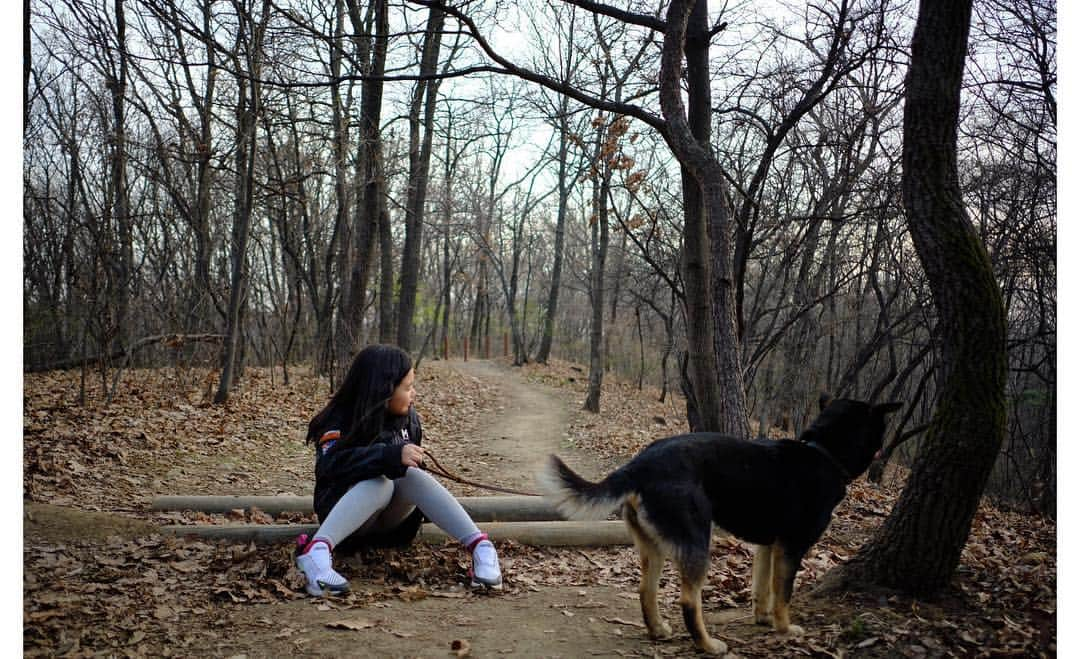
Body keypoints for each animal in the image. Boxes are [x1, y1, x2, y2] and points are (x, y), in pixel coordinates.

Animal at [540, 395, 902, 652]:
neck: (822, 451)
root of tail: (641, 464)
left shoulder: (768, 546)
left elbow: (762, 588)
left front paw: (763, 619)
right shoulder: (792, 547)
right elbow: (783, 593)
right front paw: (785, 629)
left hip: (652, 546)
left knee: (645, 589)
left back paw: (658, 631)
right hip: (699, 540)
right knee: (688, 601)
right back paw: (708, 645)